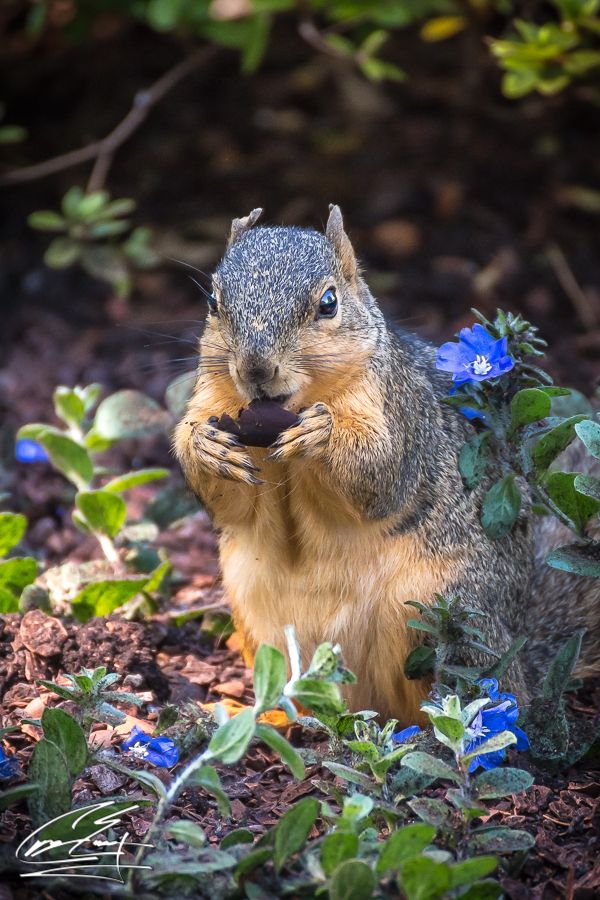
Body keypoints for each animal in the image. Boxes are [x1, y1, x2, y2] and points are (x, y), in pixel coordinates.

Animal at [175, 205, 600, 725]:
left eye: (329, 303)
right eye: (213, 300)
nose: (255, 369)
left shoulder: (399, 409)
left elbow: (381, 474)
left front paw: (323, 435)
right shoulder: (212, 400)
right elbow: (227, 503)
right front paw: (204, 446)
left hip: (439, 611)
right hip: (255, 612)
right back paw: (261, 713)